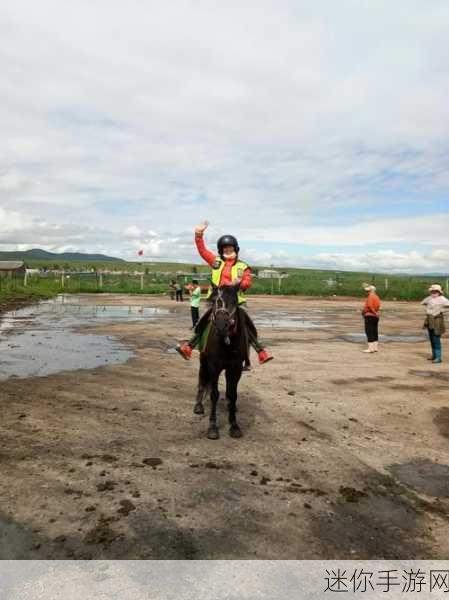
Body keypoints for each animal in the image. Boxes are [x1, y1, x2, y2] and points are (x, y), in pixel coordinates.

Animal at [192, 284, 248, 438]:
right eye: (216, 301)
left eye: (235, 301)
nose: (221, 325)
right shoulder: (214, 366)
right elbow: (214, 394)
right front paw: (212, 427)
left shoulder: (235, 368)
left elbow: (232, 395)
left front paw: (234, 425)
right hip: (203, 362)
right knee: (202, 380)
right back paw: (198, 405)